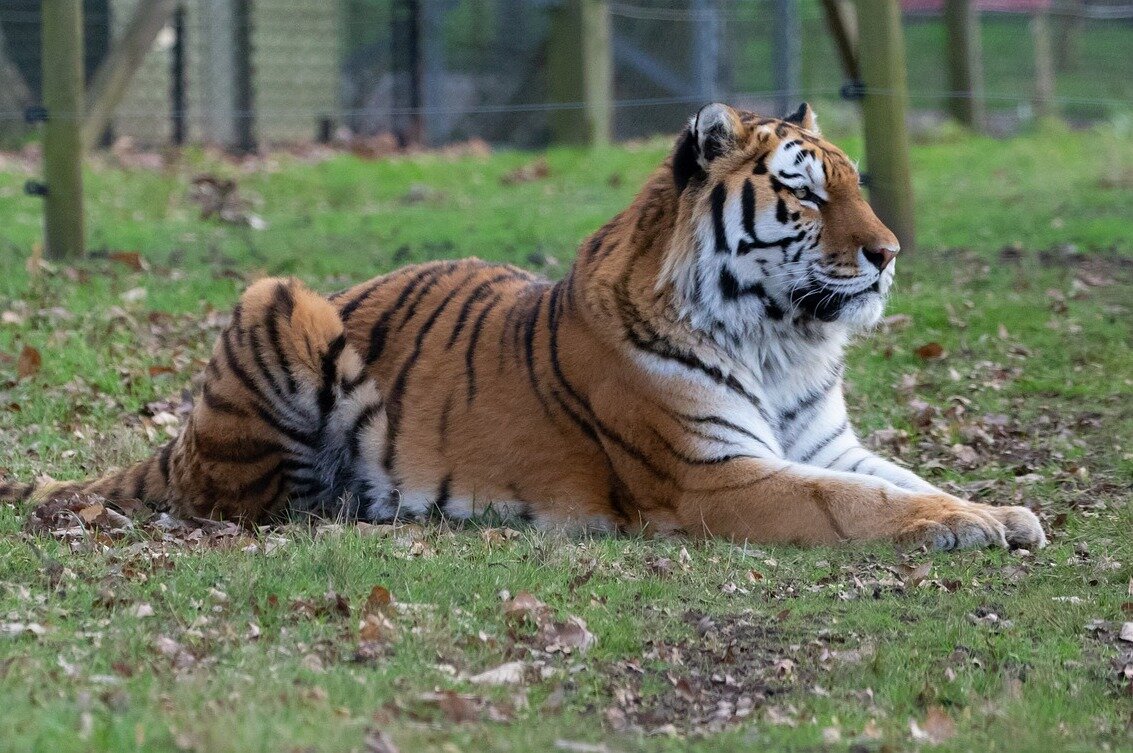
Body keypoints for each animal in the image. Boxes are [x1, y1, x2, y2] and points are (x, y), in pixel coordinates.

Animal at [2, 103, 1042, 550]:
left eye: (856, 183)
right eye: (804, 190)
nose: (889, 252)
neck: (782, 340)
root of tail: (177, 439)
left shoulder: (825, 441)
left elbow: (905, 479)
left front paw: (999, 509)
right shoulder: (716, 475)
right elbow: (860, 504)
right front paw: (968, 525)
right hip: (277, 298)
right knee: (227, 499)